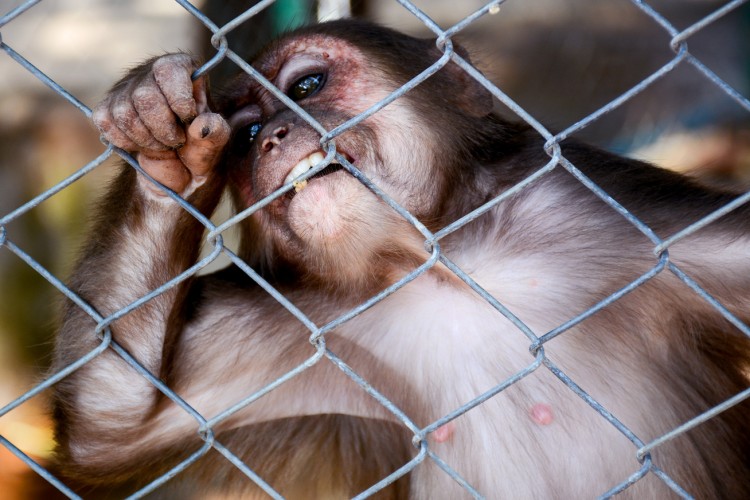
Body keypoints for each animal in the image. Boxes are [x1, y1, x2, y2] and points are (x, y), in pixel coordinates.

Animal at [50, 18, 748, 496]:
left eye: (308, 84)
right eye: (244, 136)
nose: (273, 136)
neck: (437, 268)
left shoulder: (604, 211)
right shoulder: (304, 316)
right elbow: (113, 425)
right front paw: (159, 148)